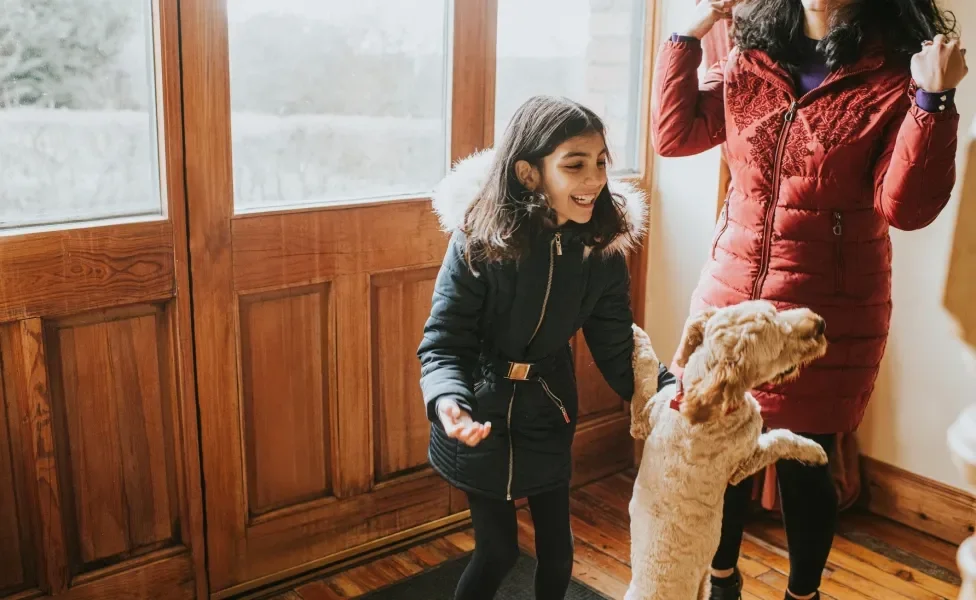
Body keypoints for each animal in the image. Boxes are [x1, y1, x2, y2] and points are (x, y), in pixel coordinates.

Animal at [624, 302, 832, 596]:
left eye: (775, 309)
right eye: (780, 344)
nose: (821, 324)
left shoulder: (645, 419)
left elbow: (645, 372)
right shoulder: (745, 460)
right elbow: (781, 438)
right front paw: (814, 450)